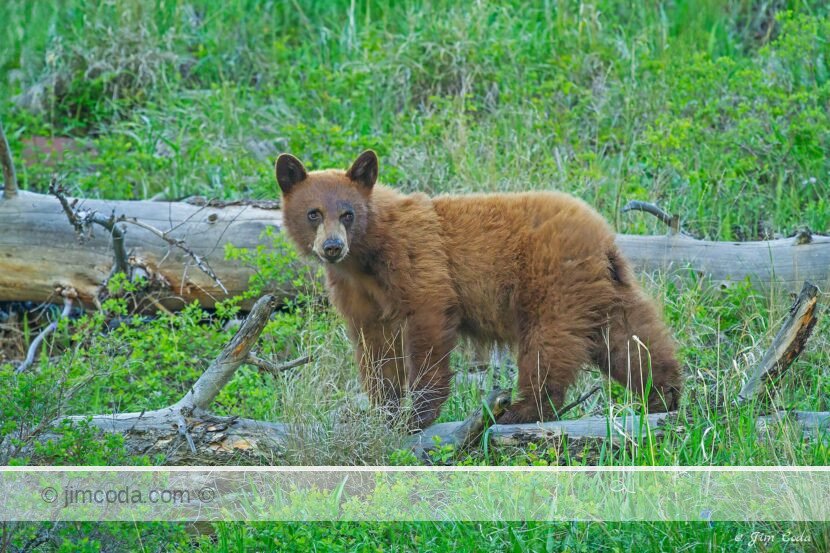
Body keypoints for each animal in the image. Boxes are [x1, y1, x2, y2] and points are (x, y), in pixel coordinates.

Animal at [276, 150, 682, 429]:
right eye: (313, 213)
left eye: (347, 213)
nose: (331, 247)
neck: (366, 256)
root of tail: (603, 235)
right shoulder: (358, 293)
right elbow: (376, 347)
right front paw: (385, 411)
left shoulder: (416, 259)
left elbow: (426, 320)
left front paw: (417, 414)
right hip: (605, 290)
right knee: (632, 340)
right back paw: (666, 395)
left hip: (551, 280)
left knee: (548, 344)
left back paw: (521, 409)